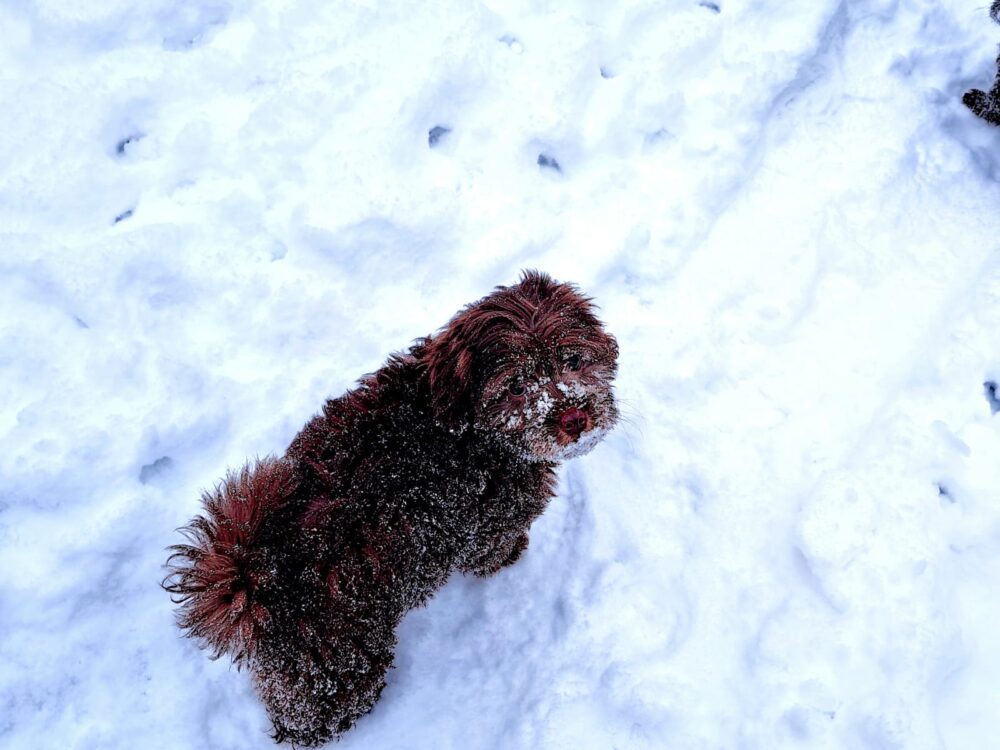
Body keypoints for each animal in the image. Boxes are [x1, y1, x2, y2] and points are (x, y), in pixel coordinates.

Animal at [164, 271, 619, 745]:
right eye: (514, 386)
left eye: (572, 359)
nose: (574, 418)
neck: (460, 420)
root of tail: (256, 575)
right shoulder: (492, 520)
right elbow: (492, 549)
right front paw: (512, 556)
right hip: (335, 661)